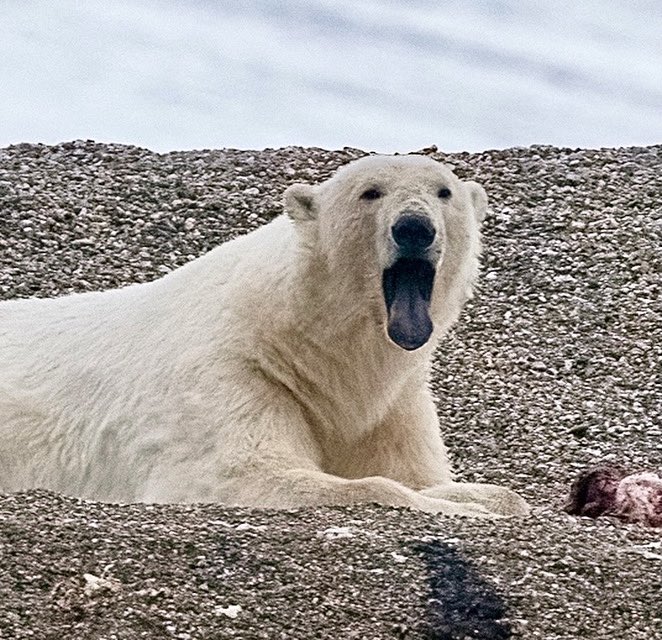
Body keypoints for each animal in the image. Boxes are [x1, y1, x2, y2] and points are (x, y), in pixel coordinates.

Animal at [0, 154, 529, 516]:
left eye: (444, 192)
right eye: (370, 192)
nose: (414, 227)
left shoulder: (389, 403)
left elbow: (416, 473)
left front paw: (487, 498)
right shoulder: (235, 373)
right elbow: (247, 474)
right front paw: (463, 510)